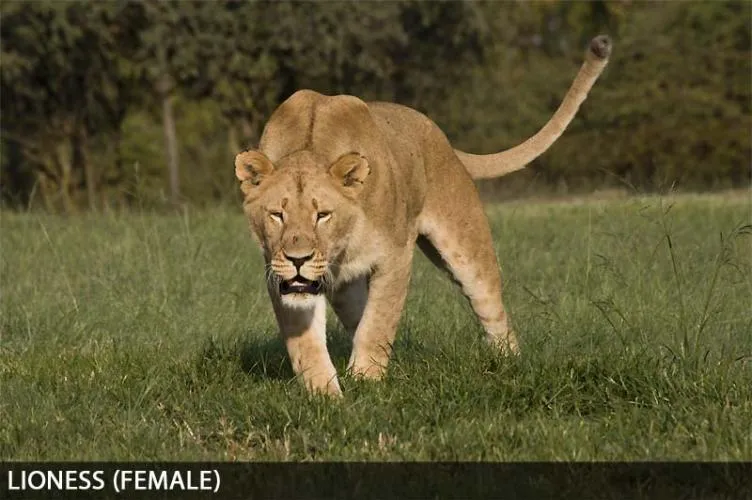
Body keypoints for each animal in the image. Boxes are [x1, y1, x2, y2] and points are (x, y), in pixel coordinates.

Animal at [235, 35, 612, 396]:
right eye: (277, 215)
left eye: (322, 215)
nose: (298, 259)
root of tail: (439, 135)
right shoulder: (278, 273)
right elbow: (307, 343)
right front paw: (325, 396)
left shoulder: (395, 256)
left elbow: (379, 322)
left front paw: (367, 380)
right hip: (344, 287)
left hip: (466, 249)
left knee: (492, 310)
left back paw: (509, 365)